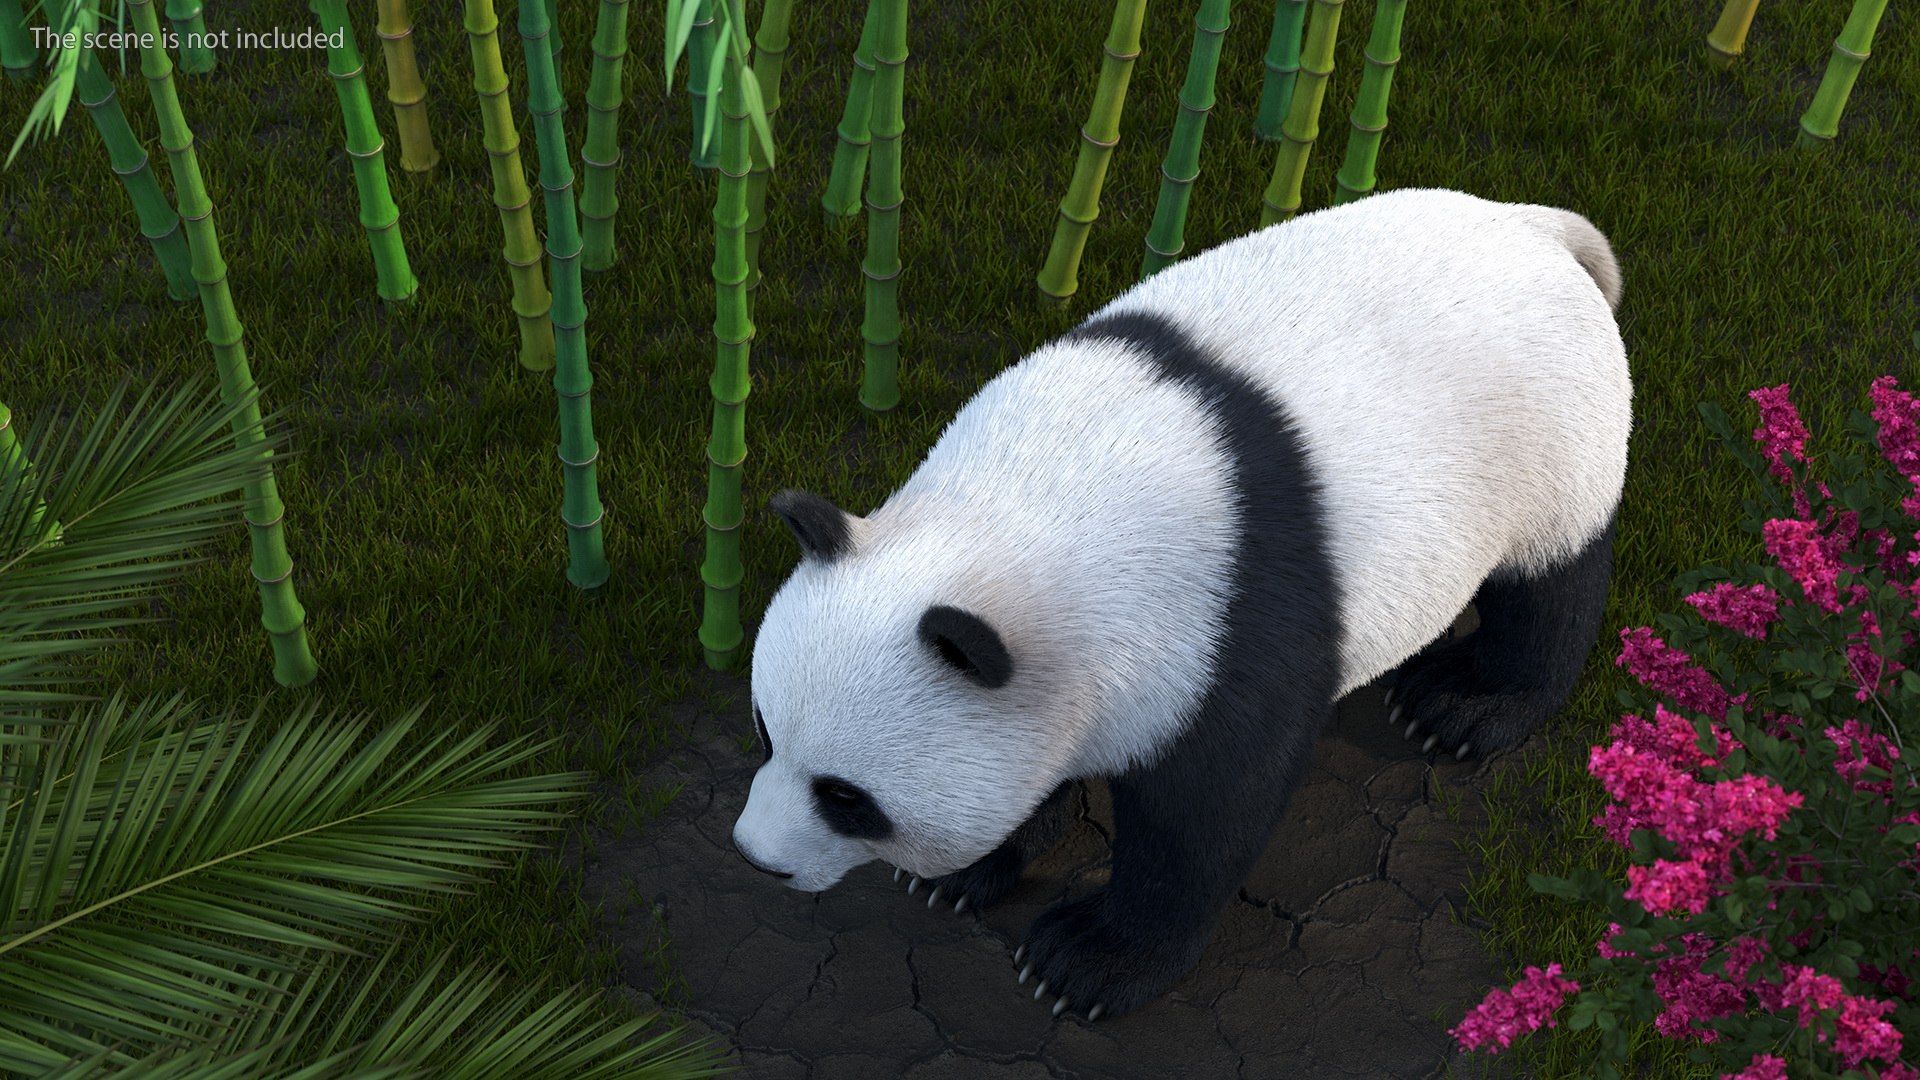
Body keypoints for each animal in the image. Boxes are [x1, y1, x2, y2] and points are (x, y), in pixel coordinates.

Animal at [732, 187, 1630, 1022]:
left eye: (847, 799)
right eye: (765, 731)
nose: (755, 859)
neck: (1028, 513)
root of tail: (1536, 226)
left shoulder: (1223, 621)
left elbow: (1206, 813)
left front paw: (1084, 963)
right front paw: (974, 872)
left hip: (1549, 434)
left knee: (1552, 580)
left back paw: (1461, 705)